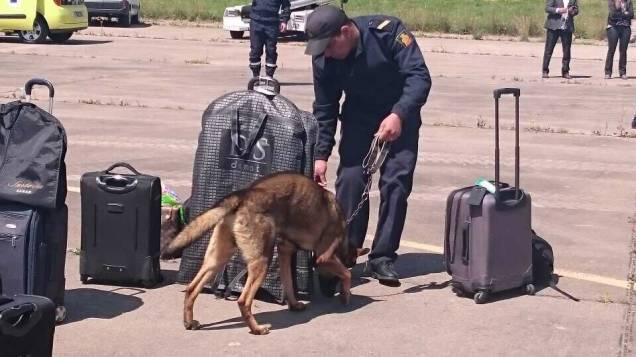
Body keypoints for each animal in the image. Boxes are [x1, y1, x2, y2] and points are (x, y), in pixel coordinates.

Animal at [161, 172, 366, 334]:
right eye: (350, 263)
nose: (330, 291)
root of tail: (243, 195)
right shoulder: (324, 257)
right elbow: (346, 274)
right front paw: (346, 294)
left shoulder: (284, 253)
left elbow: (288, 284)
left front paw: (294, 304)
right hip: (261, 262)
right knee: (243, 301)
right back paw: (257, 329)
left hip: (217, 259)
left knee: (191, 289)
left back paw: (189, 322)